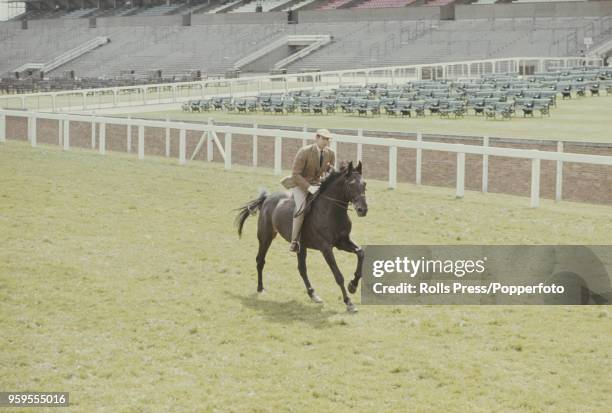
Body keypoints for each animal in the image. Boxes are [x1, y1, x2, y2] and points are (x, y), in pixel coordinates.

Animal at [234, 161, 368, 312]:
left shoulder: (342, 242)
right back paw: (260, 288)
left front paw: (353, 285)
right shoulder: (326, 248)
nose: (363, 210)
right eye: (351, 184)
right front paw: (349, 302)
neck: (332, 211)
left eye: (364, 184)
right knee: (260, 260)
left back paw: (313, 294)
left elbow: (361, 253)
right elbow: (338, 275)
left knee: (302, 269)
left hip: (301, 245)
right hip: (266, 237)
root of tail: (267, 198)